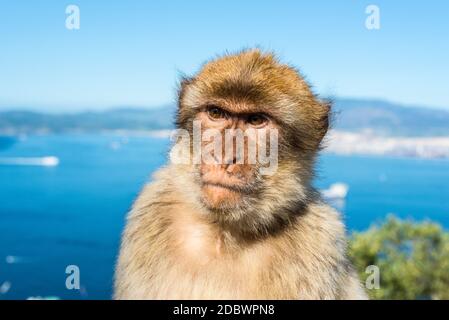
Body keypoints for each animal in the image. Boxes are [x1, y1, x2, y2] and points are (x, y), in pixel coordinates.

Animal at [113, 48, 368, 298]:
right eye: (216, 113)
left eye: (256, 120)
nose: (224, 156)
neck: (223, 233)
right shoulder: (152, 209)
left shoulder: (320, 239)